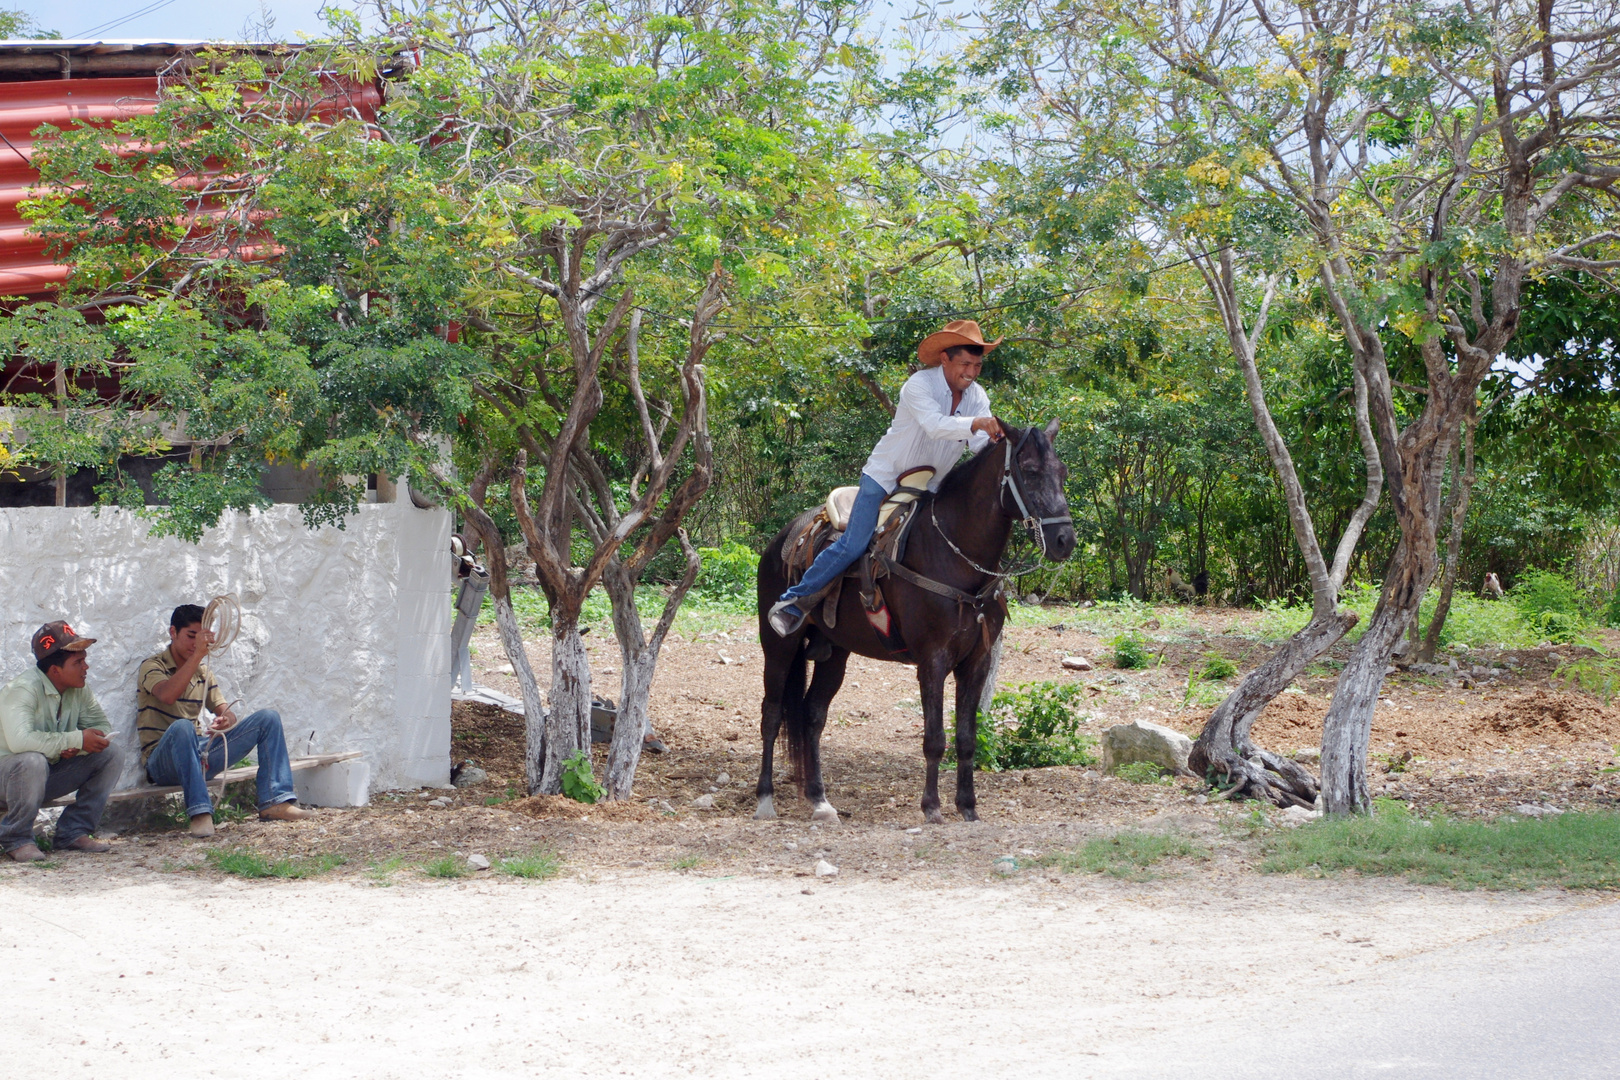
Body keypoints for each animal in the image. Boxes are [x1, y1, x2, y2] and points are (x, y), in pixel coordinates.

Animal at [754, 417, 1075, 822]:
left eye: (1061, 472)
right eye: (1030, 471)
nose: (1065, 540)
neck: (953, 556)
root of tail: (782, 539)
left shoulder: (978, 661)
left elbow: (966, 738)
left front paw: (968, 807)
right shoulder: (932, 660)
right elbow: (935, 738)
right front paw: (932, 808)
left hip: (835, 651)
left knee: (812, 715)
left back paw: (820, 800)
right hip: (779, 645)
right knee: (772, 713)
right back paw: (765, 798)